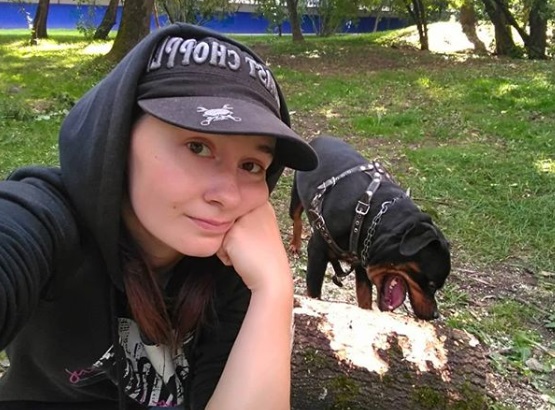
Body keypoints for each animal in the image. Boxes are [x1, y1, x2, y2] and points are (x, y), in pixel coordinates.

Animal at [288, 135, 454, 320]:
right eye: (431, 284)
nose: (435, 315)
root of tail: (319, 137)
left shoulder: (362, 259)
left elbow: (365, 298)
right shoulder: (317, 252)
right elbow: (314, 295)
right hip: (295, 199)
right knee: (297, 218)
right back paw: (295, 244)